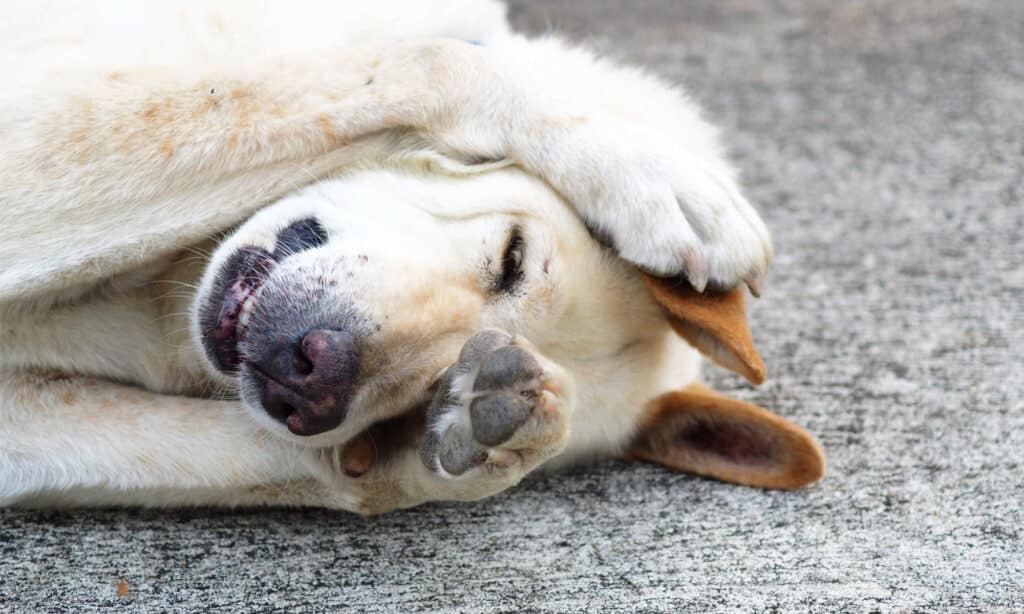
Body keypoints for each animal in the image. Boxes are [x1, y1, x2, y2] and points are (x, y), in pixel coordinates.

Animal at [0, 0, 823, 511]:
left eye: (430, 392)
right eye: (512, 257)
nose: (309, 380)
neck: (159, 302)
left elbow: (329, 473)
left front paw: (478, 442)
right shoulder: (29, 124)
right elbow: (434, 62)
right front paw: (647, 172)